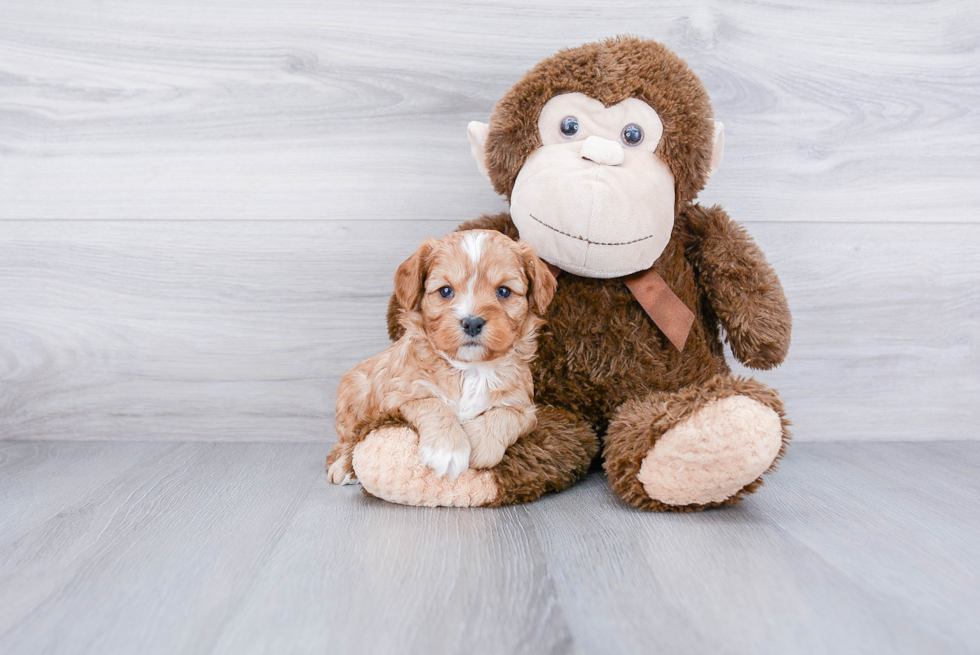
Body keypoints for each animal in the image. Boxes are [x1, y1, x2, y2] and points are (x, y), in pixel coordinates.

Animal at [328, 228, 556, 484]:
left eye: (503, 291)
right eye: (446, 290)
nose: (472, 322)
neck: (471, 369)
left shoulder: (525, 407)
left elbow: (505, 414)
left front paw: (479, 446)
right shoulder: (399, 396)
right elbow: (433, 403)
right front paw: (447, 450)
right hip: (354, 396)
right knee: (346, 441)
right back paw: (344, 468)